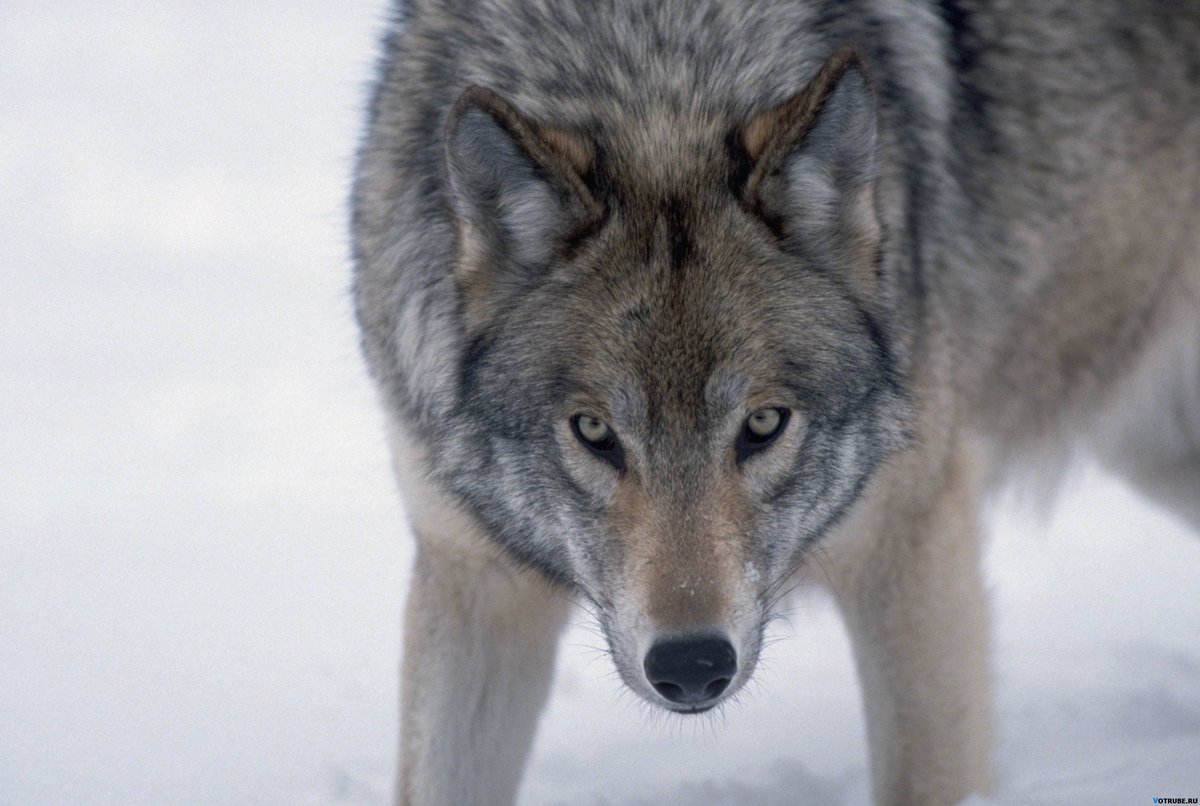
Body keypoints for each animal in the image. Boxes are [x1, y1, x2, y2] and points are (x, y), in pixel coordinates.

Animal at [351, 0, 1200, 803]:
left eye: (763, 424)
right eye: (594, 431)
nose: (693, 663)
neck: (653, 76)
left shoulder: (911, 548)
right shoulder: (474, 582)